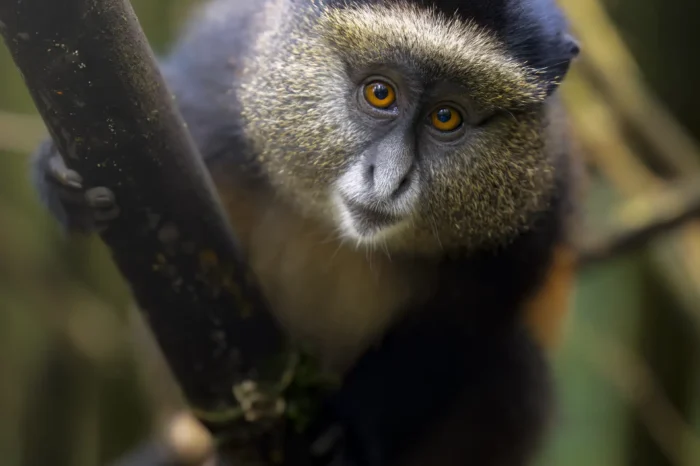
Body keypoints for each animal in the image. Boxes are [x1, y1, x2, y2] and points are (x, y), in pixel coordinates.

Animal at [29, 0, 582, 465]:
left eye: (446, 117)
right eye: (380, 93)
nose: (390, 178)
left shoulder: (537, 209)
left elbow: (458, 330)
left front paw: (346, 432)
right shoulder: (206, 102)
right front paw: (61, 180)